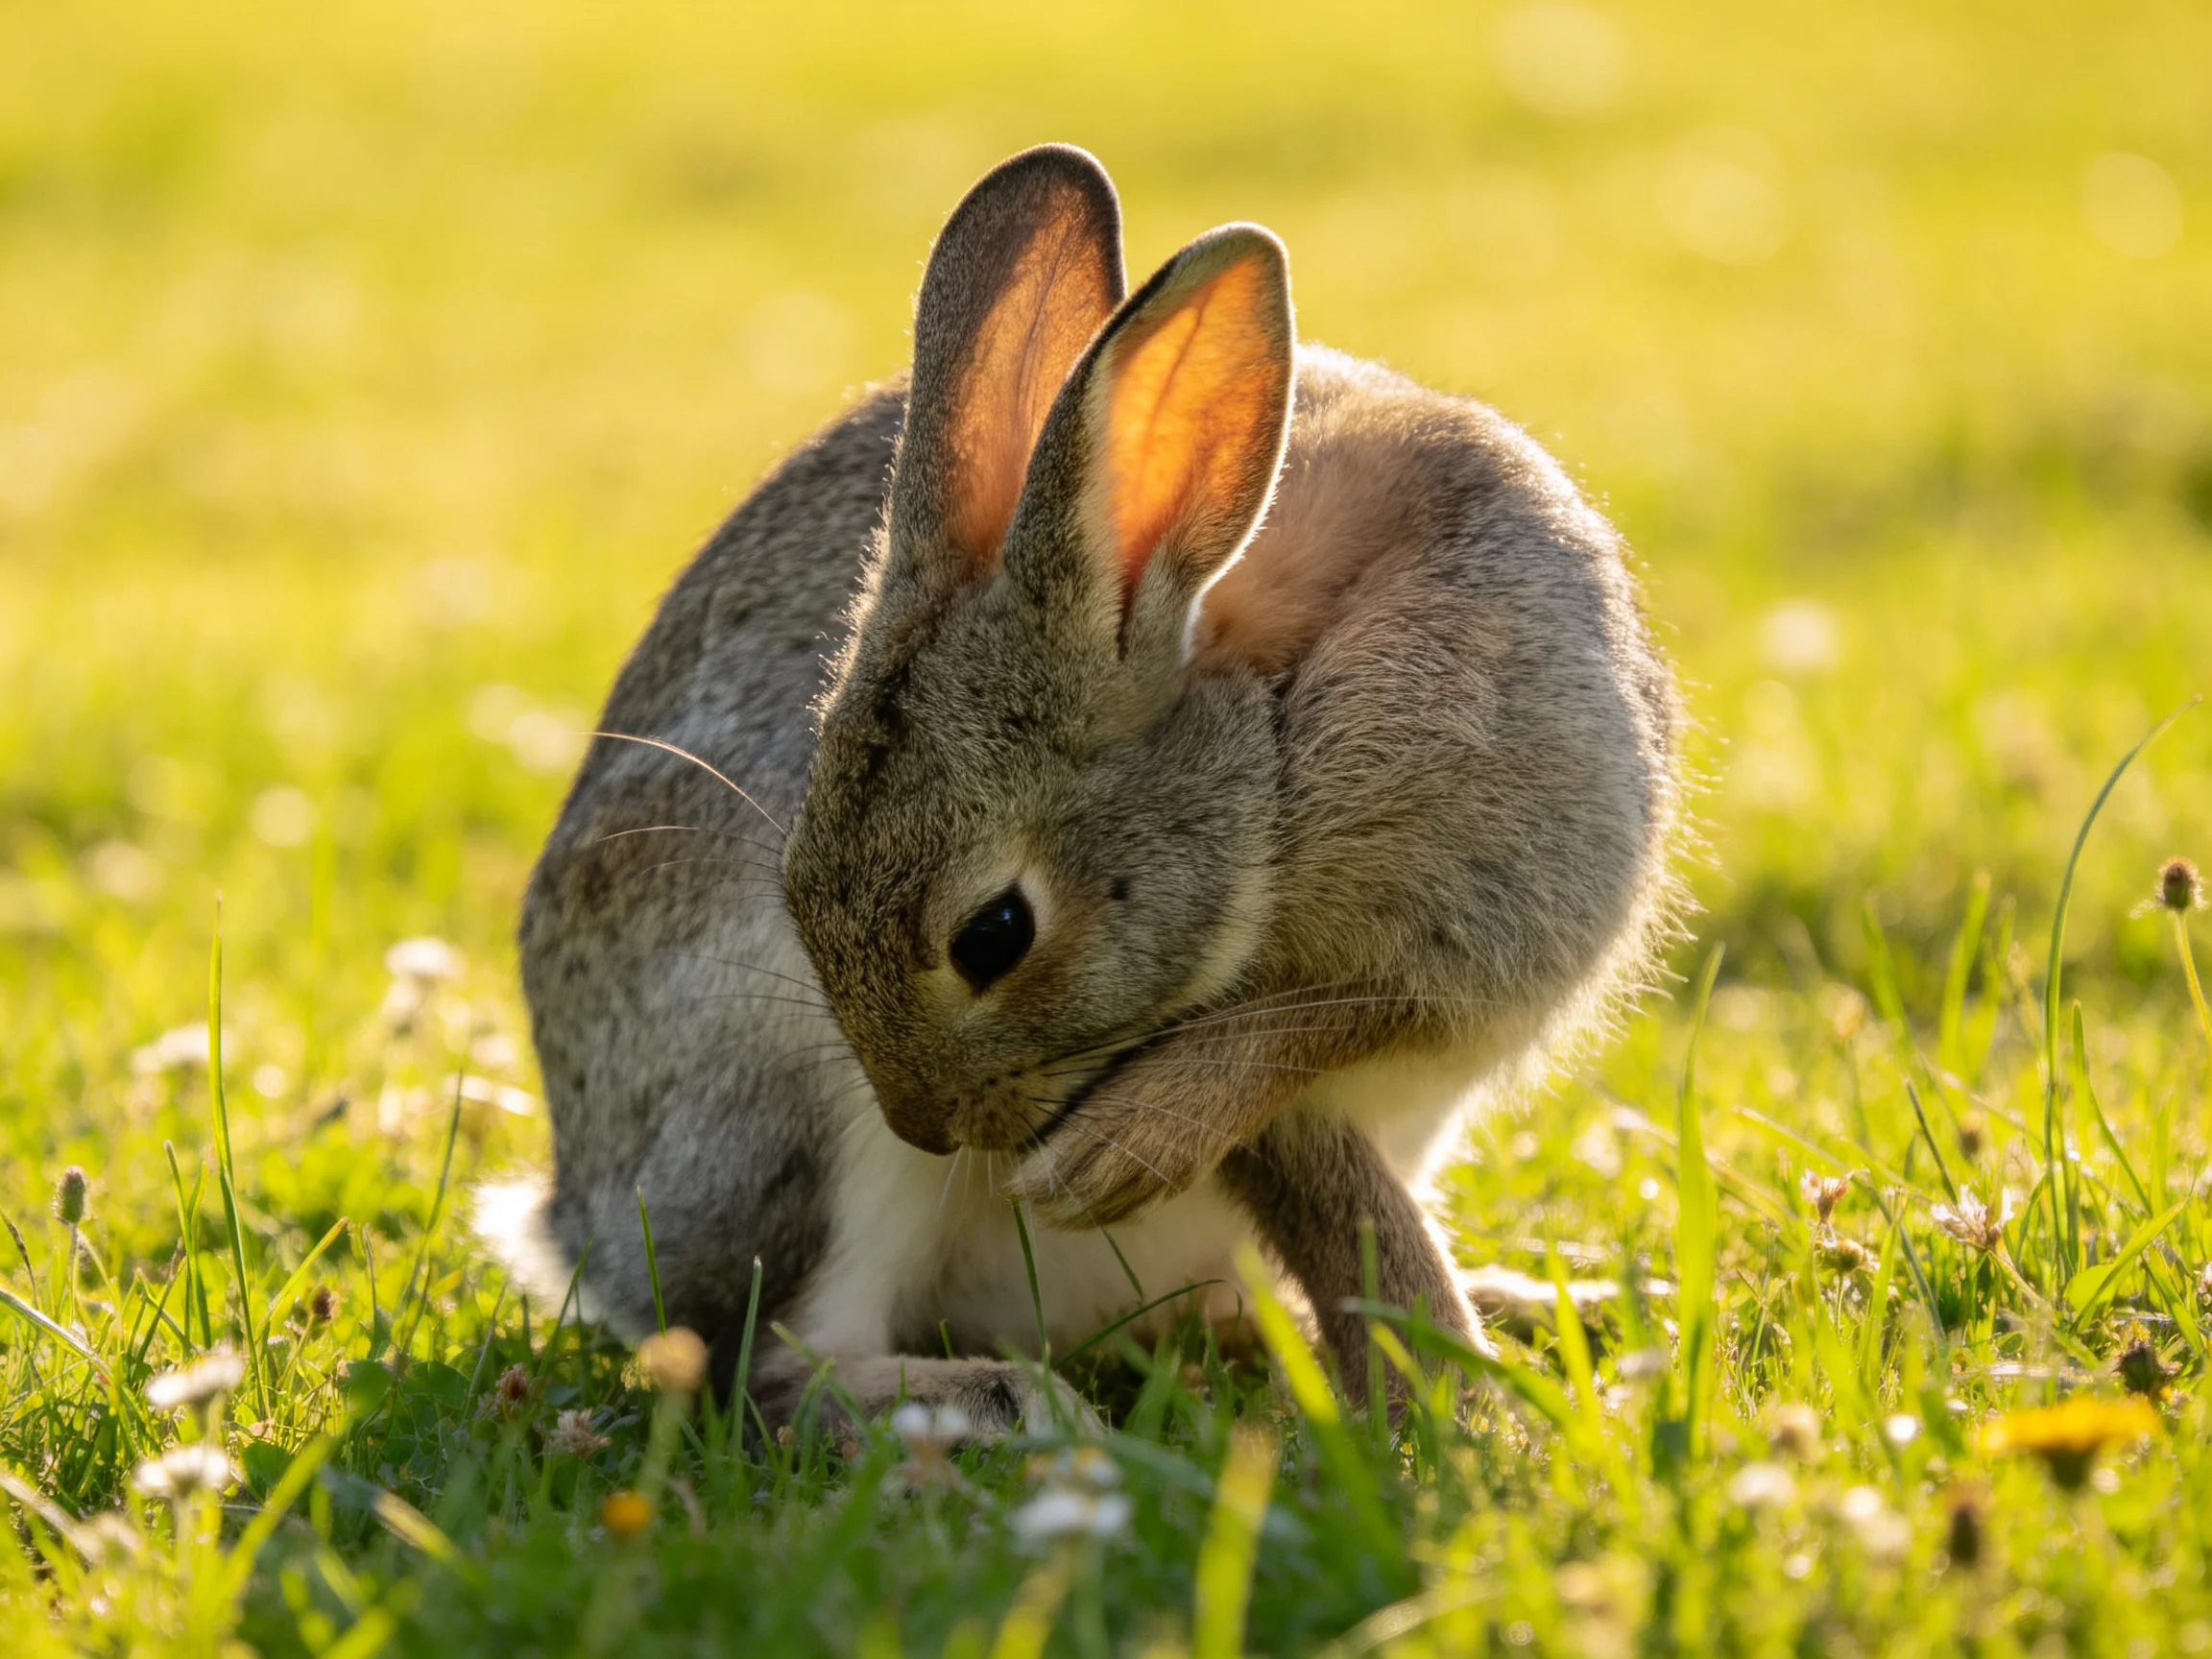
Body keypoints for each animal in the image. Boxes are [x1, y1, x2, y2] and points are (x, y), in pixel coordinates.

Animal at [481, 143, 1681, 1433]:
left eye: (994, 935)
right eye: (792, 888)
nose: (927, 1121)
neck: (1272, 719)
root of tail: (574, 1228)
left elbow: (1308, 1055)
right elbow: (1312, 1143)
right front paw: (1434, 1396)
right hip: (787, 1104)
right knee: (773, 1365)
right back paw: (1007, 1406)